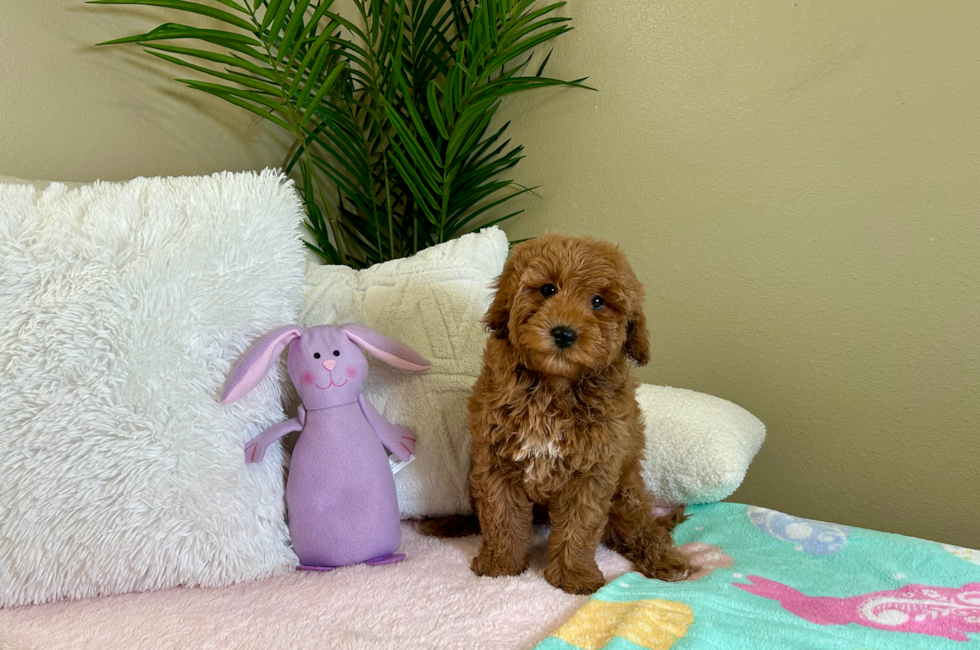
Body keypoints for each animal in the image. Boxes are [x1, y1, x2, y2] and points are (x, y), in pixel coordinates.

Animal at [424, 232, 692, 592]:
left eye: (598, 302)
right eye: (548, 289)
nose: (564, 333)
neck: (554, 385)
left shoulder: (592, 469)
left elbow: (580, 526)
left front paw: (573, 576)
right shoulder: (495, 459)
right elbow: (500, 514)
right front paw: (501, 564)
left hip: (626, 493)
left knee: (641, 529)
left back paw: (666, 561)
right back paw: (447, 523)